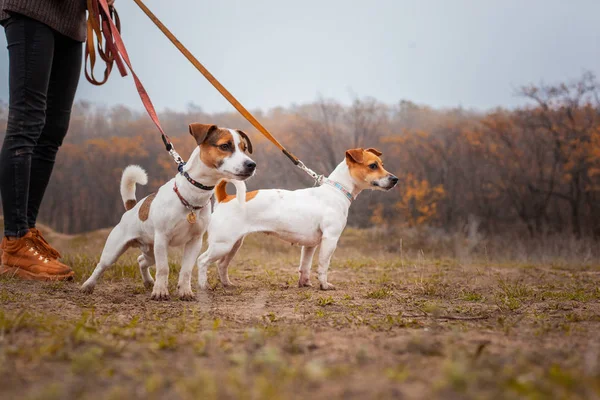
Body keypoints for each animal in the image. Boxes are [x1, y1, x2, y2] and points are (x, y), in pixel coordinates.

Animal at [81, 123, 255, 298]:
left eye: (244, 148)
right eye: (224, 146)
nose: (251, 165)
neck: (190, 195)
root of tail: (132, 208)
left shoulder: (195, 241)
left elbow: (186, 270)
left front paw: (185, 291)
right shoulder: (162, 238)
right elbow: (163, 268)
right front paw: (160, 291)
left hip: (150, 251)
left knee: (141, 261)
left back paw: (148, 281)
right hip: (117, 250)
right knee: (101, 266)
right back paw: (88, 285)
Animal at [193, 148, 398, 292]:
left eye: (381, 163)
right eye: (373, 166)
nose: (395, 179)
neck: (336, 190)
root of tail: (225, 198)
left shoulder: (310, 245)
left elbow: (305, 266)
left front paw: (305, 283)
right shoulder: (330, 240)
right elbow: (323, 266)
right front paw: (324, 285)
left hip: (234, 245)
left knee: (221, 265)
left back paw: (228, 284)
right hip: (223, 245)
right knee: (202, 261)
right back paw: (204, 286)